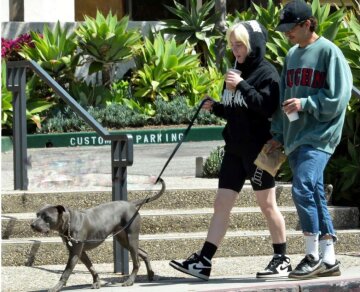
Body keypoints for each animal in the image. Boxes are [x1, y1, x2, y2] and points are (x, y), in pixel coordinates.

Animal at [31, 179, 166, 290]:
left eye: (47, 217)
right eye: (37, 214)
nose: (32, 225)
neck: (69, 223)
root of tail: (131, 204)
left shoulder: (75, 253)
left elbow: (66, 271)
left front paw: (57, 287)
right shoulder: (80, 252)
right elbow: (90, 267)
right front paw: (97, 282)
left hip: (131, 237)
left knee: (136, 262)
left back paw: (130, 281)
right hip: (123, 240)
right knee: (144, 253)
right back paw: (150, 274)